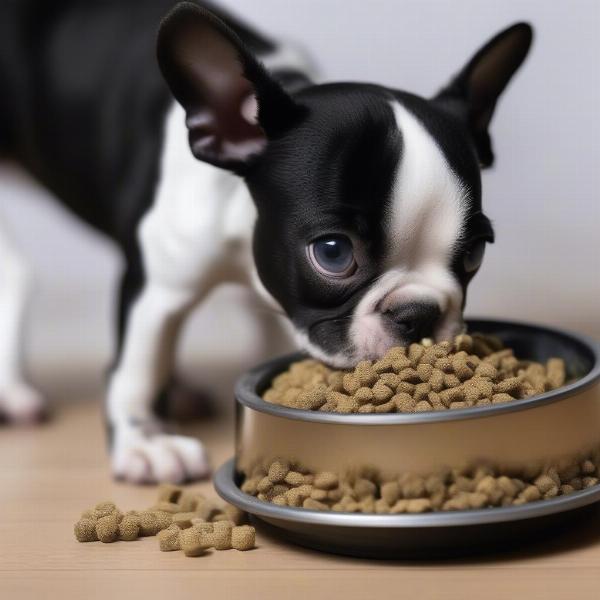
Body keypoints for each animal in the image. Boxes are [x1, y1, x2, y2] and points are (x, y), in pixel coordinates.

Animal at [1, 1, 536, 482]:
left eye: (474, 253)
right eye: (333, 253)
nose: (418, 314)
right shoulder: (157, 287)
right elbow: (138, 365)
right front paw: (145, 442)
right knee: (18, 275)